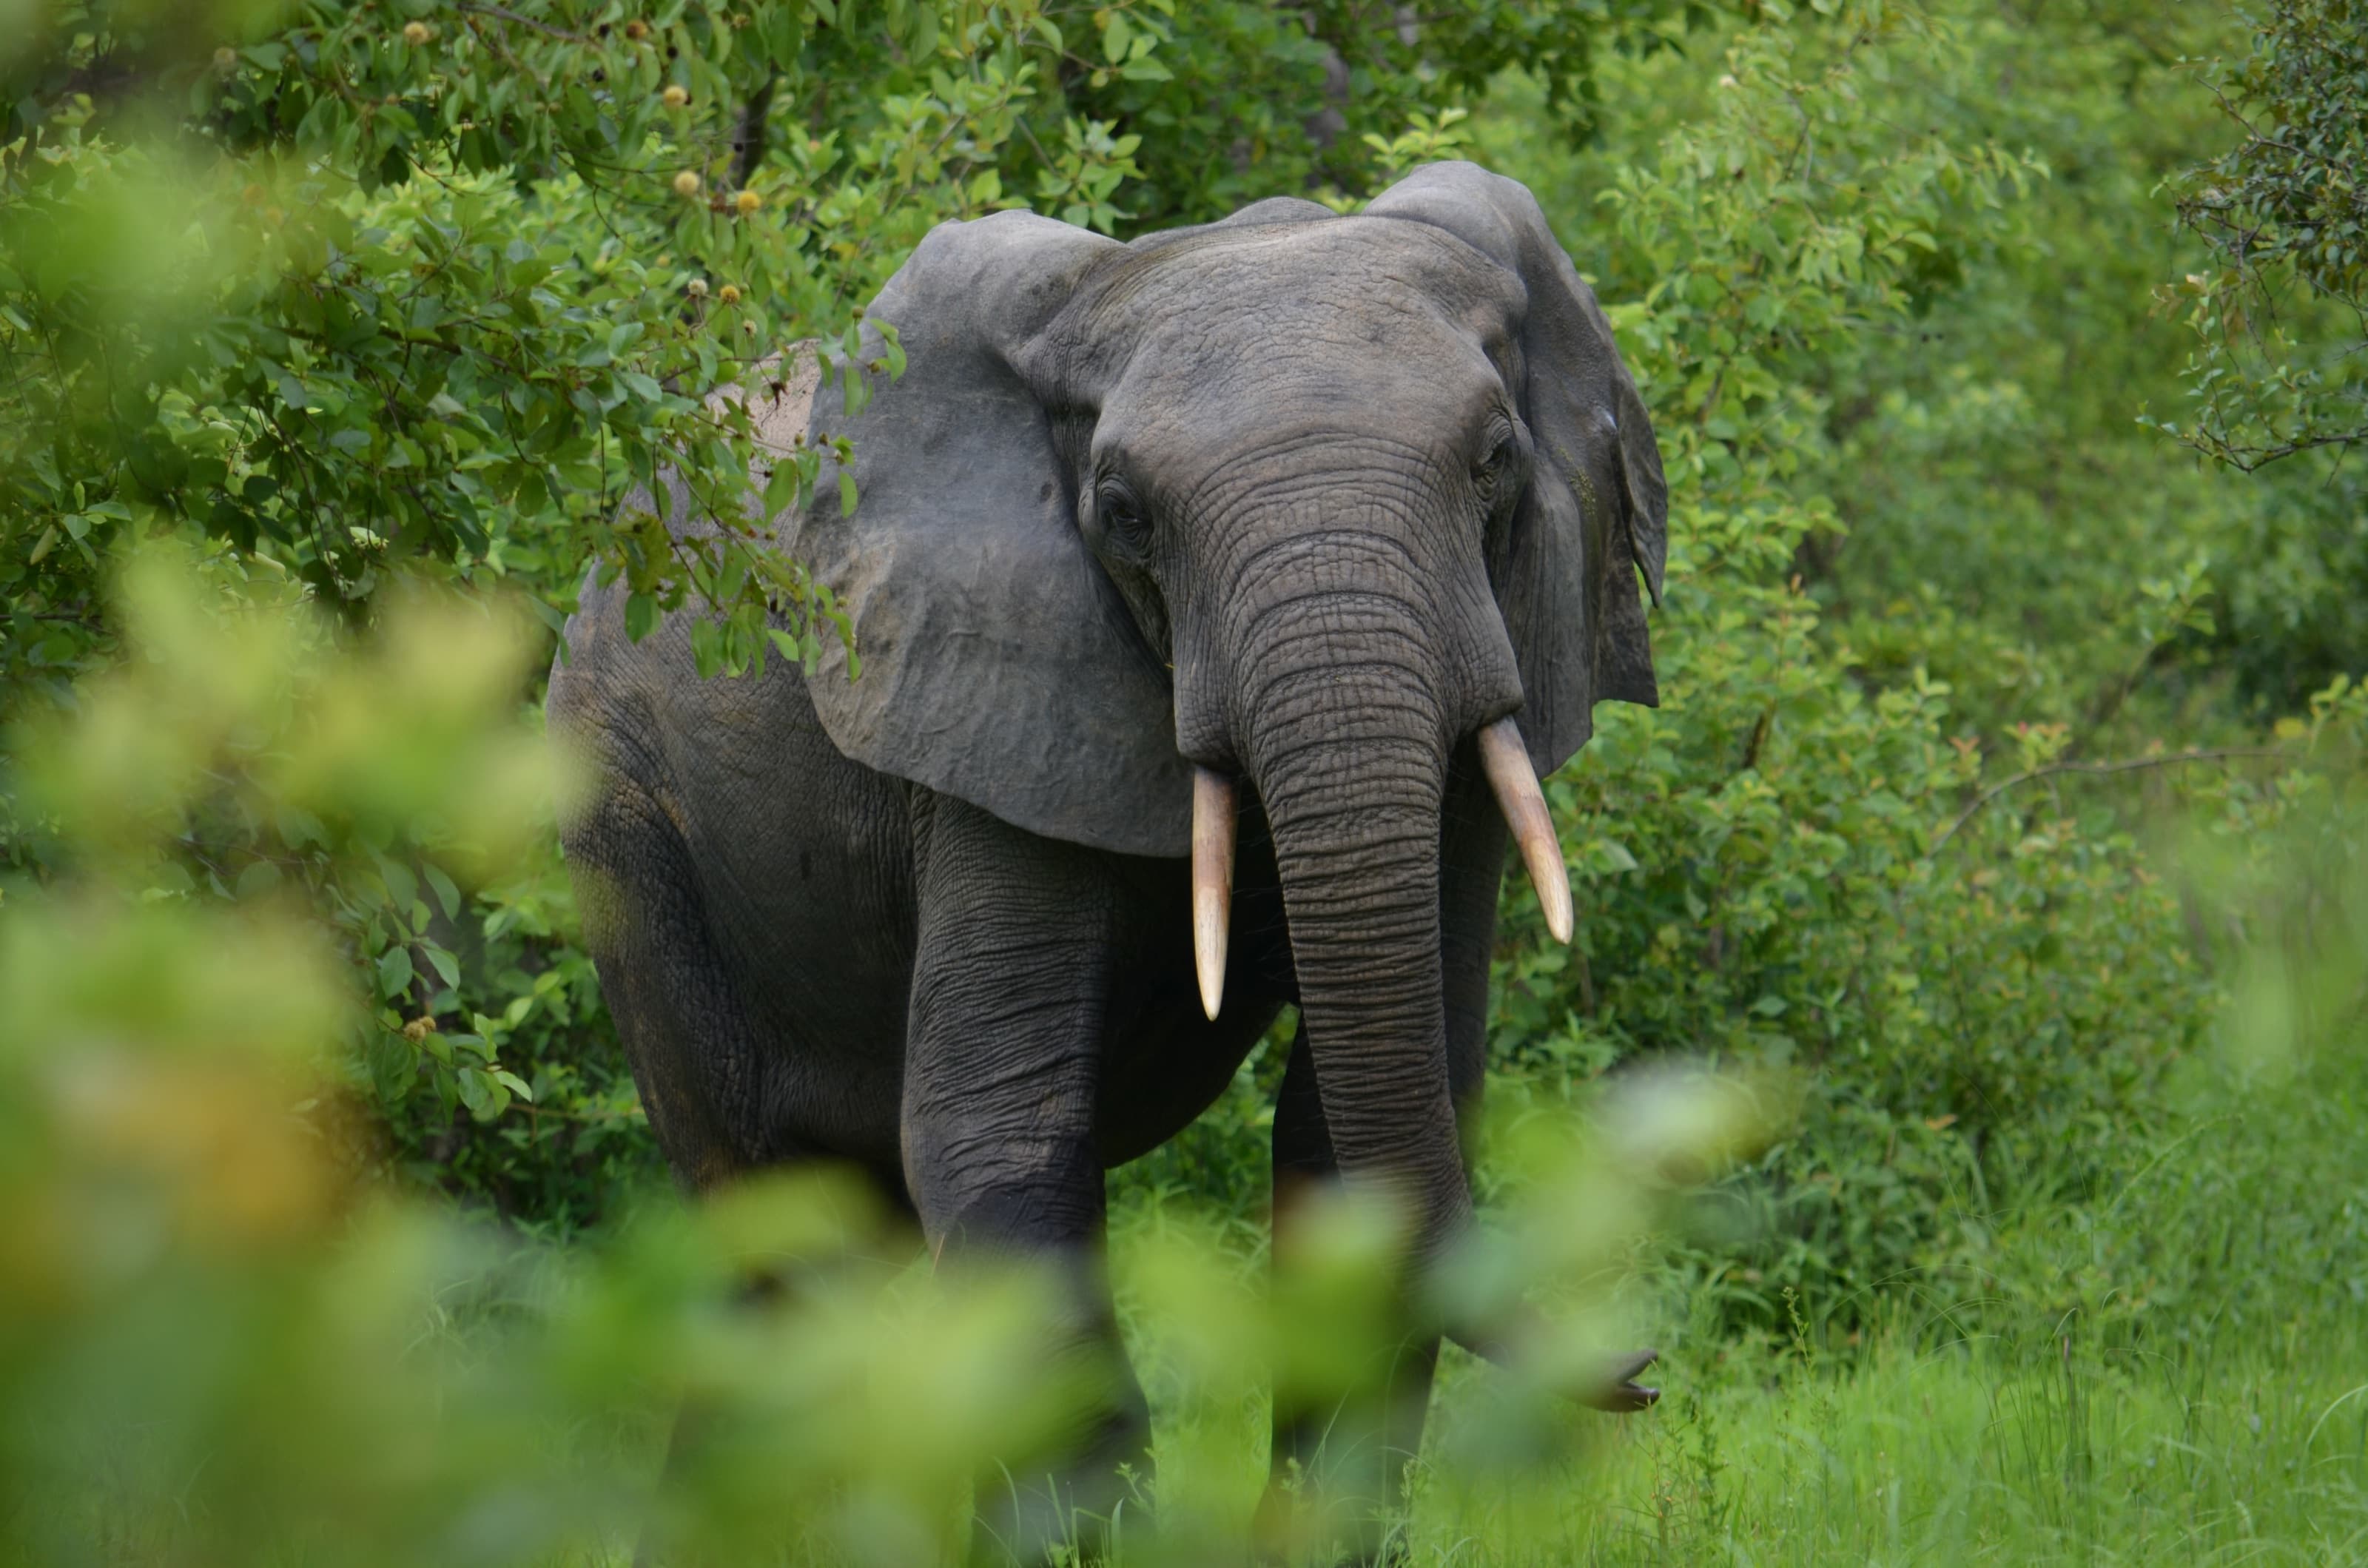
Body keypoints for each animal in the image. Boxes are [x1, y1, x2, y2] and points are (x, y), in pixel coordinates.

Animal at [548, 160, 1669, 1560]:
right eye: (1125, 516)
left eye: (1496, 462)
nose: (1643, 1369)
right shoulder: (985, 705)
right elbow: (1002, 1133)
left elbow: (1353, 1123)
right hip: (624, 824)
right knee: (766, 1225)